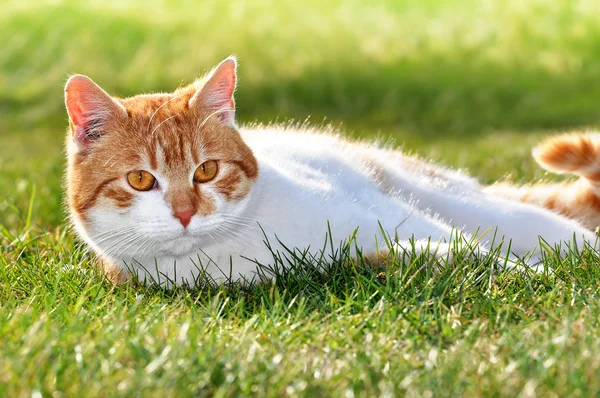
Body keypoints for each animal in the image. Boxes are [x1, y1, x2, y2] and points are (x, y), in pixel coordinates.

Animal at [64, 56, 596, 286]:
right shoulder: (367, 254)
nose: (184, 213)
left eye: (207, 170)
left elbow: (473, 248)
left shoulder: (391, 216)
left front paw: (537, 273)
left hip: (456, 199)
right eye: (140, 180)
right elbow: (449, 254)